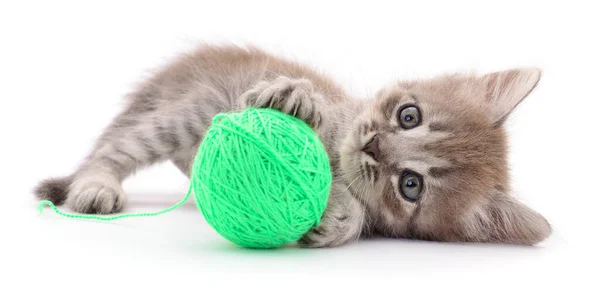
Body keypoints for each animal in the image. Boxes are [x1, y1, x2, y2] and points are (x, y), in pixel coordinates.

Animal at [32, 44, 552, 246]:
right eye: (410, 116)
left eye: (411, 185)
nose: (372, 146)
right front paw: (298, 96)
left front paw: (340, 217)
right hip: (184, 114)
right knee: (111, 151)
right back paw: (96, 188)